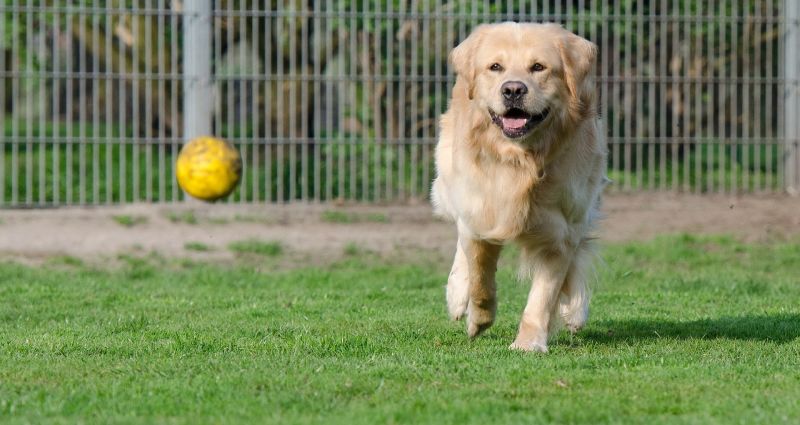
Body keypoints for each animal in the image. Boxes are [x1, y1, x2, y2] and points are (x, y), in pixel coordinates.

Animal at [432, 21, 608, 352]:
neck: (519, 161)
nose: (513, 89)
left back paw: (575, 311)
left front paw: (529, 343)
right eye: (495, 67)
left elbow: (543, 296)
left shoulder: (561, 231)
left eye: (538, 67)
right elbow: (480, 278)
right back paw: (457, 295)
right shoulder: (480, 213)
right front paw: (478, 320)